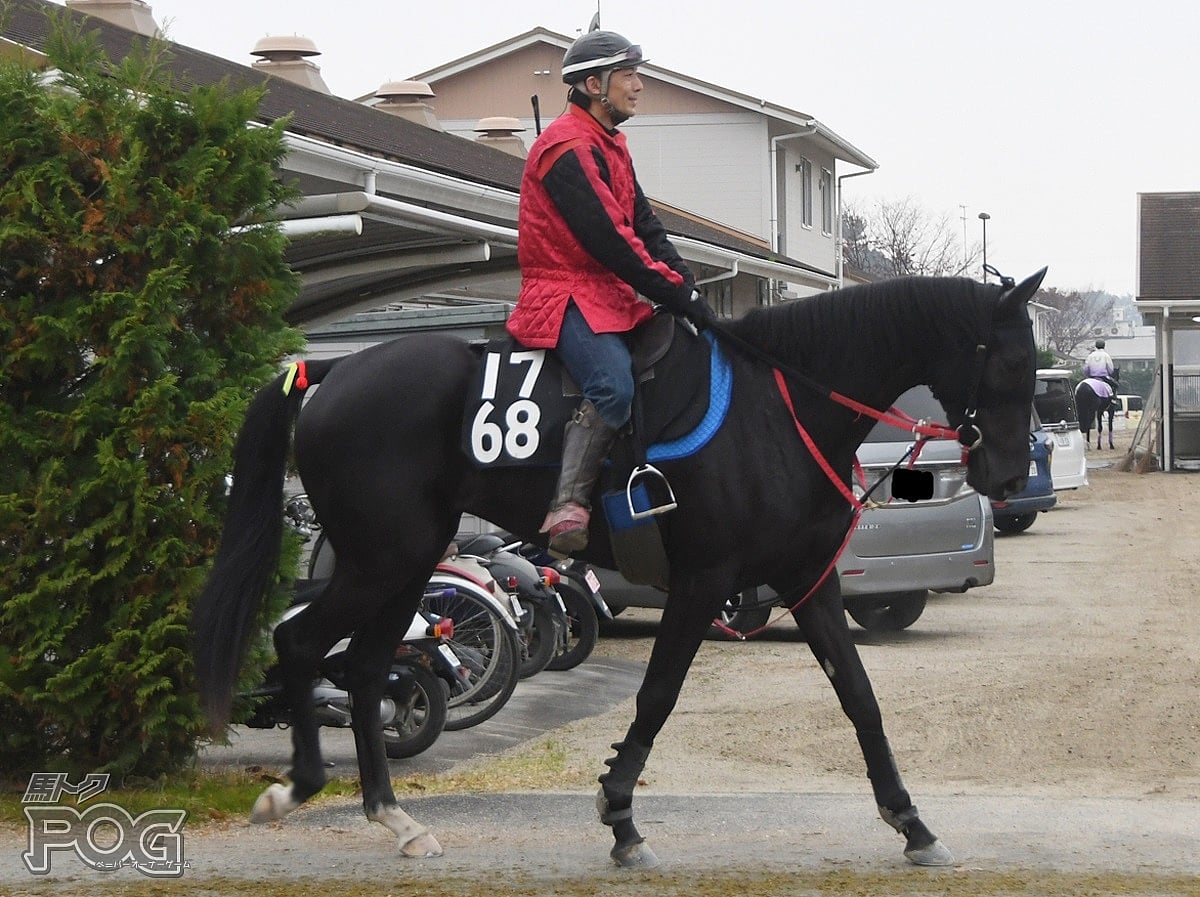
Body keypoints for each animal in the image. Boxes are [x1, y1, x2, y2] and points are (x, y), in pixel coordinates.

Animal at [192, 268, 1046, 868]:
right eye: (1010, 361)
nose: (1006, 471)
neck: (778, 406)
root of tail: (334, 374)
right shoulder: (703, 582)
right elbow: (657, 695)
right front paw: (620, 815)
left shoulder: (810, 581)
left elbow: (861, 698)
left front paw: (912, 821)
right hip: (382, 558)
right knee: (304, 644)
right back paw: (297, 785)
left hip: (403, 561)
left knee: (368, 667)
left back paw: (393, 816)